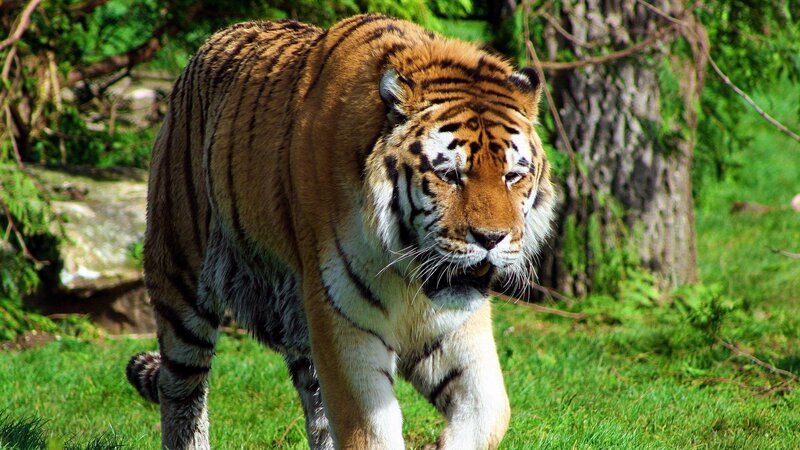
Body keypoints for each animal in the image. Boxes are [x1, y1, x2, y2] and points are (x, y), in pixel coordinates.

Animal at [125, 13, 555, 450]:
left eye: (512, 176)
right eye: (450, 175)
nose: (492, 239)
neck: (408, 273)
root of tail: (212, 40)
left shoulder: (451, 327)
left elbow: (492, 410)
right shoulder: (344, 320)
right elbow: (368, 431)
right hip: (181, 277)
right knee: (181, 392)